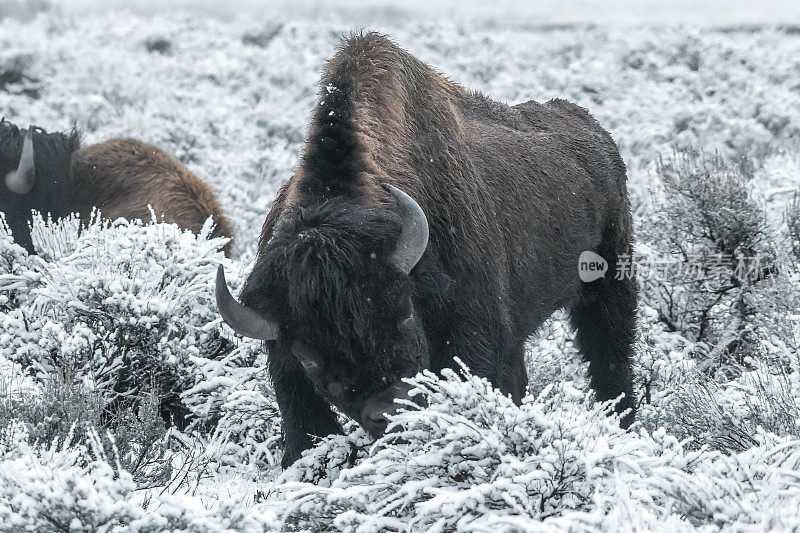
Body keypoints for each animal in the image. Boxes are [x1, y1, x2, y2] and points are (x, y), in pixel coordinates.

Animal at [217, 32, 636, 466]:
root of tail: (596, 132)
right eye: (308, 356)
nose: (388, 410)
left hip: (611, 281)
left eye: (404, 312)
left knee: (610, 357)